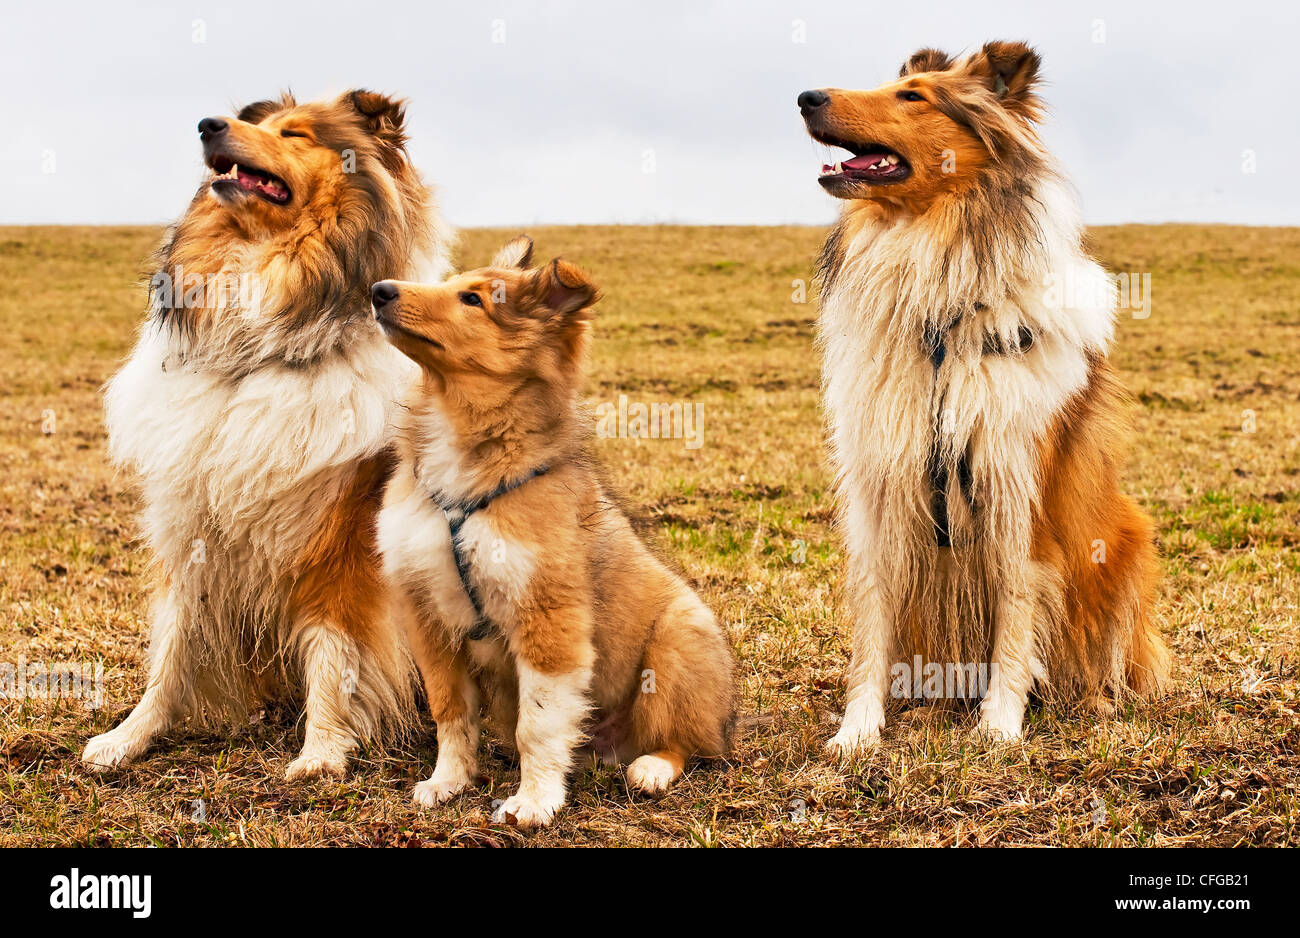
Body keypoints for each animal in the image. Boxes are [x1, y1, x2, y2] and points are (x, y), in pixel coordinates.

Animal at [83, 89, 452, 774]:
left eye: (296, 135)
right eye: (257, 122)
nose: (208, 124)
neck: (254, 352)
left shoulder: (342, 539)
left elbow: (336, 648)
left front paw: (322, 750)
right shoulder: (192, 525)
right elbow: (173, 647)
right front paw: (130, 736)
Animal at [369, 235, 733, 826]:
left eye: (473, 299)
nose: (378, 290)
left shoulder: (548, 618)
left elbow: (536, 725)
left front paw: (534, 801)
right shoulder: (427, 616)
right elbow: (451, 713)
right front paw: (448, 782)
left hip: (679, 641)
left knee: (689, 743)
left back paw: (652, 768)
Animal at [795, 41, 1175, 753]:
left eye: (912, 97)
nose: (805, 96)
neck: (942, 319)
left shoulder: (1020, 493)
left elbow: (1017, 621)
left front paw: (1000, 725)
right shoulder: (879, 491)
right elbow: (872, 622)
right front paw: (859, 731)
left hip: (1127, 541)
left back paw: (1098, 703)